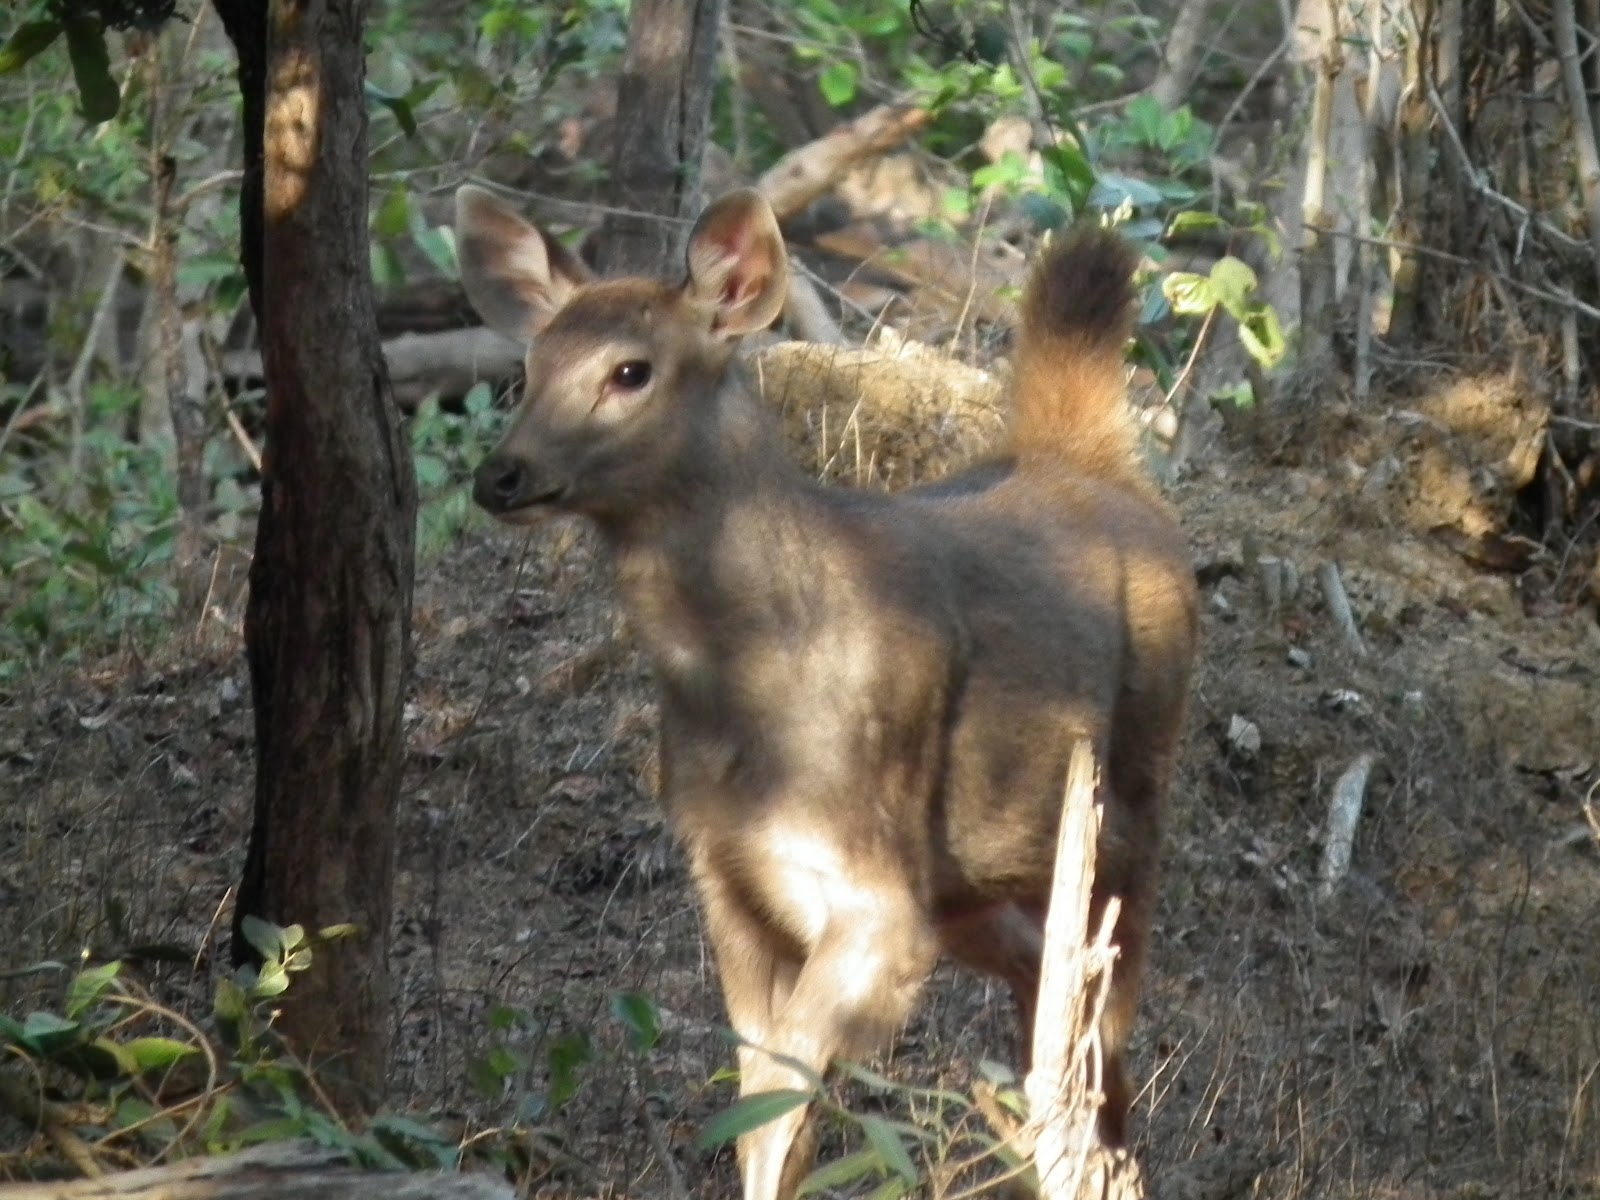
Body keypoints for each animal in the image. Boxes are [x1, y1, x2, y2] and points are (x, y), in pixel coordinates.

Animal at [457, 183, 1196, 1200]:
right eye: (528, 369)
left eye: (630, 371)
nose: (501, 474)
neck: (747, 685)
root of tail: (1088, 460)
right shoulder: (730, 877)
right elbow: (761, 1107)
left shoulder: (877, 894)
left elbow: (780, 1102)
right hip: (976, 880)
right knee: (1050, 1006)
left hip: (1128, 802)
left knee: (1102, 1023)